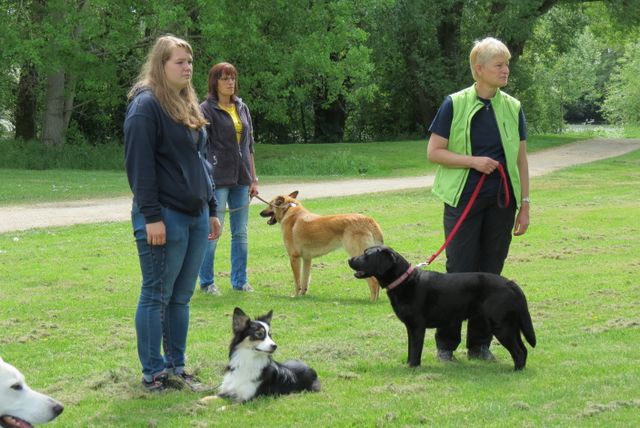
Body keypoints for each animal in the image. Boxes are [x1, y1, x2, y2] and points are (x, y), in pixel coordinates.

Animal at [348, 246, 536, 370]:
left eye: (366, 255)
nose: (349, 260)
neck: (404, 280)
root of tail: (511, 283)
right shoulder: (410, 327)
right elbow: (410, 349)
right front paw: (408, 364)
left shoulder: (417, 327)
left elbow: (415, 350)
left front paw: (413, 367)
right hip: (511, 325)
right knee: (524, 349)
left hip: (501, 325)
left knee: (519, 351)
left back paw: (515, 371)